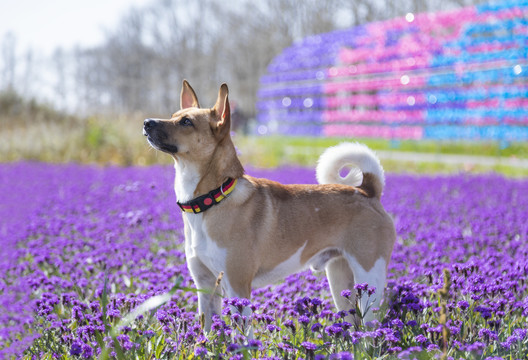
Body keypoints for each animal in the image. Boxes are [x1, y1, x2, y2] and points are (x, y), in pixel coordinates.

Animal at [144, 80, 396, 330]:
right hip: (340, 280)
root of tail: (367, 191)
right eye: (173, 115)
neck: (213, 198)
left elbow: (242, 336)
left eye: (186, 122)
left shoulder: (237, 287)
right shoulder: (206, 287)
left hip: (369, 280)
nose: (146, 122)